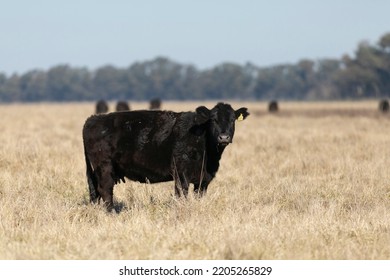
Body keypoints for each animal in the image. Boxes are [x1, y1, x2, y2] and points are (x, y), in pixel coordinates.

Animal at [82, 102, 250, 210]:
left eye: (232, 120)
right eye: (213, 120)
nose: (224, 137)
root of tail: (93, 118)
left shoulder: (203, 179)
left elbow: (199, 195)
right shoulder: (181, 174)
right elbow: (181, 194)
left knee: (95, 191)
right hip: (104, 167)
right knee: (105, 189)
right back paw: (111, 213)